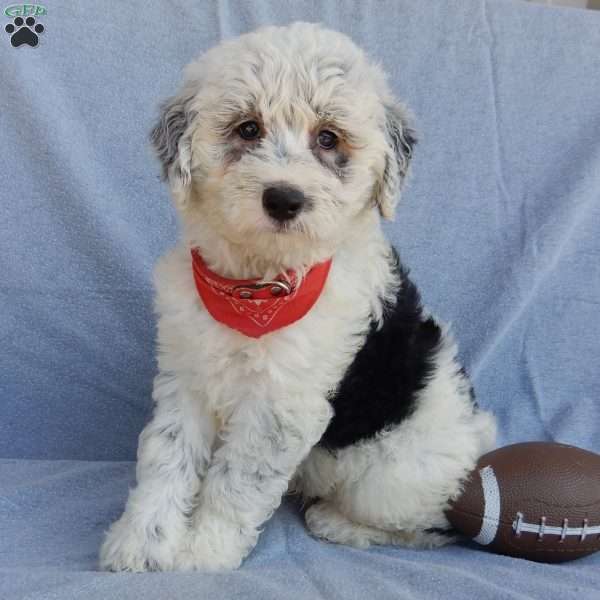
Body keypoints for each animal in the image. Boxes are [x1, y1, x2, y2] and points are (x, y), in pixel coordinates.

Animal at [99, 22, 496, 572]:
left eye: (328, 139)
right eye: (248, 129)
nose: (284, 199)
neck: (258, 286)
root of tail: (479, 440)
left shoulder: (281, 405)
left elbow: (238, 481)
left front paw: (203, 551)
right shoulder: (187, 373)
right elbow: (167, 456)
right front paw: (142, 541)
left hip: (395, 478)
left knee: (429, 528)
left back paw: (336, 522)